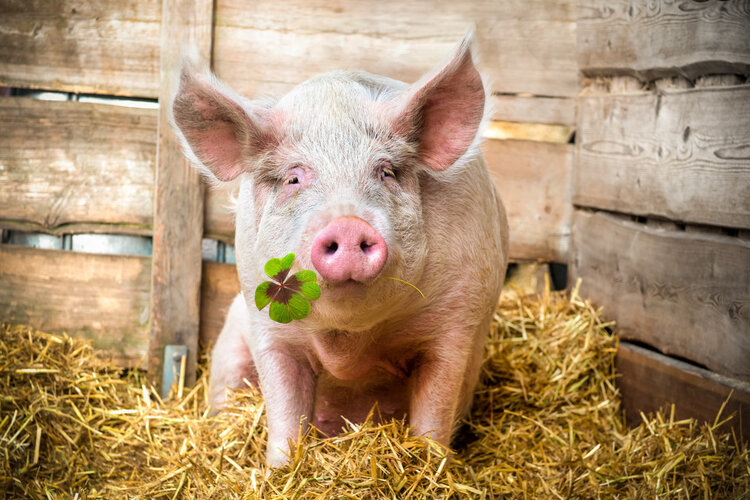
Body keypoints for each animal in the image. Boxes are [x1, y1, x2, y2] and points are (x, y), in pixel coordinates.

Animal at [171, 33, 512, 466]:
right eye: (294, 178)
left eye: (386, 172)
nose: (348, 223)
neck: (350, 342)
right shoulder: (266, 325)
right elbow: (284, 410)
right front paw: (280, 470)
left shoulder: (457, 321)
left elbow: (434, 411)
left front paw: (429, 465)